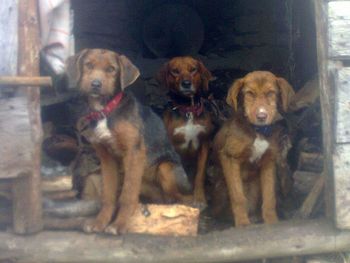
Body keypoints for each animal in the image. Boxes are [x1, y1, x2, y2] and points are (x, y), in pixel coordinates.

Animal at [65, 49, 191, 235]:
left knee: (182, 199)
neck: (105, 111)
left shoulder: (134, 153)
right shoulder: (106, 157)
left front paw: (119, 224)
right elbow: (108, 195)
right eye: (88, 65)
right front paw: (100, 222)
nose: (95, 84)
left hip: (166, 167)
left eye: (111, 69)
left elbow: (128, 195)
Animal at [158, 56, 213, 208]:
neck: (188, 110)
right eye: (175, 71)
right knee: (173, 193)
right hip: (163, 166)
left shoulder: (205, 144)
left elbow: (199, 176)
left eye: (193, 69)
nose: (186, 83)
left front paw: (200, 198)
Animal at [212, 71, 294, 227]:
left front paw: (272, 220)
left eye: (271, 93)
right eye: (249, 93)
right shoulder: (229, 157)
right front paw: (242, 223)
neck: (258, 131)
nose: (261, 116)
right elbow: (238, 196)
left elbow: (269, 197)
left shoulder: (269, 161)